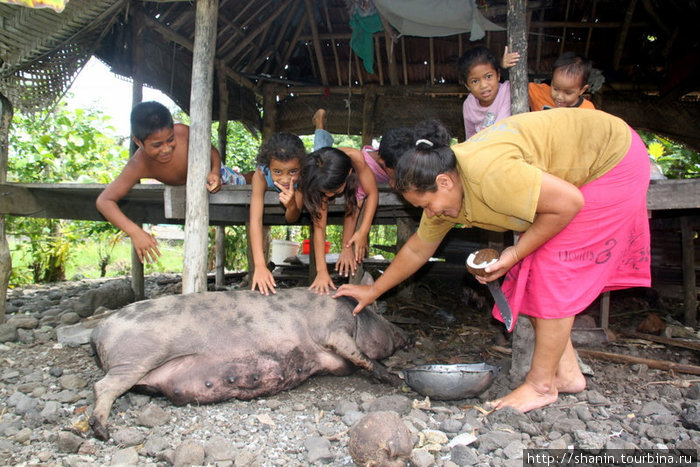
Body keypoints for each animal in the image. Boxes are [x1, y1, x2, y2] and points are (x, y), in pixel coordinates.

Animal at [89, 288, 408, 440]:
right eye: (383, 318)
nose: (407, 335)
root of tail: (98, 330)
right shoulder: (330, 330)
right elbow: (360, 355)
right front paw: (394, 379)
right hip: (137, 355)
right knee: (103, 386)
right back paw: (102, 431)